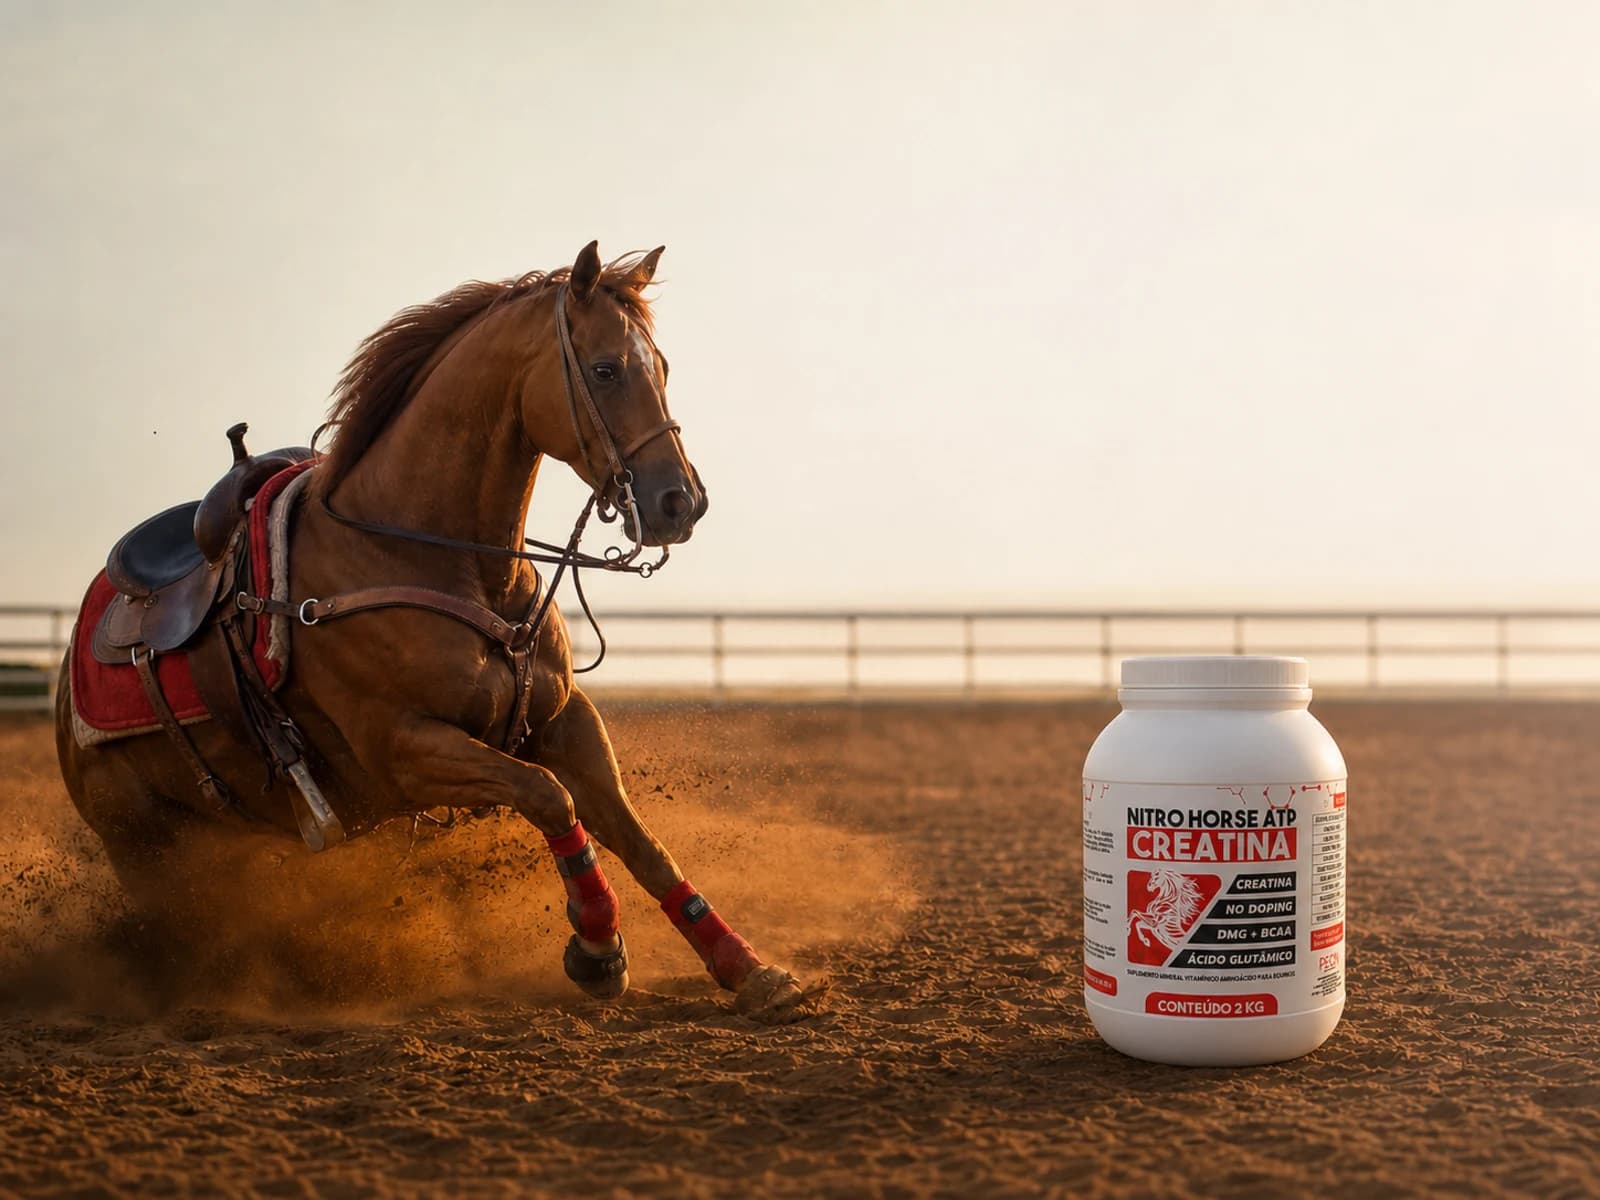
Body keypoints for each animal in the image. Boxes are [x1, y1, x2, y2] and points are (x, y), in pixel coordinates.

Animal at [54, 242, 806, 1019]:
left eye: (660, 367)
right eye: (604, 369)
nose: (680, 502)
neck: (428, 553)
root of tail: (65, 686)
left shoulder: (564, 721)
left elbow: (641, 839)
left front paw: (748, 967)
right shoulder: (405, 750)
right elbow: (549, 796)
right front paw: (598, 949)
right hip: (142, 842)